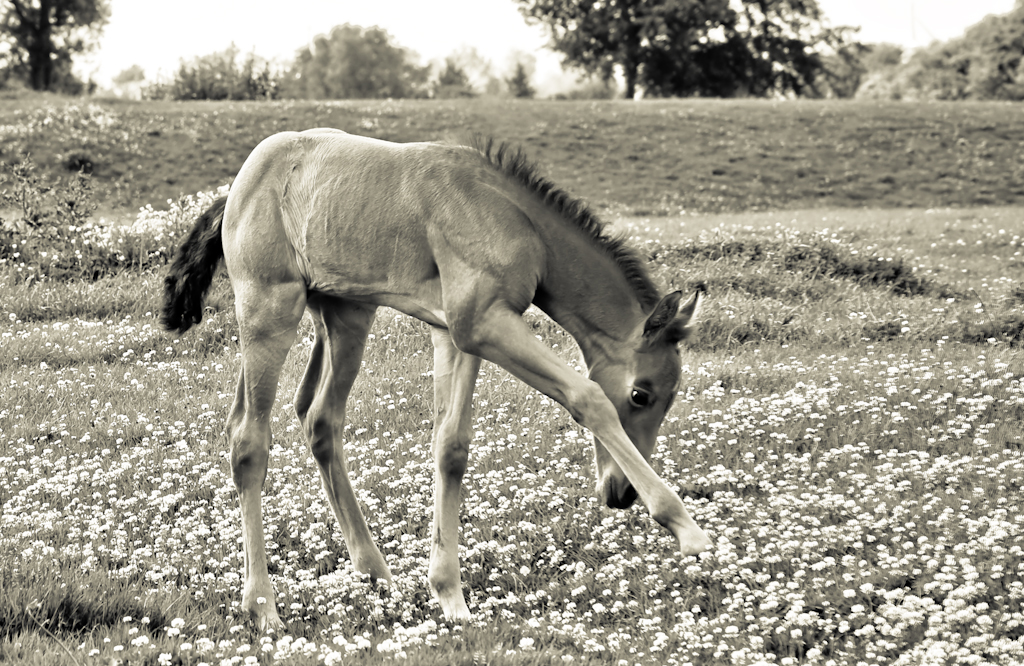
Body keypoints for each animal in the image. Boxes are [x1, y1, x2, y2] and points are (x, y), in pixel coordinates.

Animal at [163, 128, 712, 627]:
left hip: (346, 313)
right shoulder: (482, 323)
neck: (519, 221)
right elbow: (588, 396)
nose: (621, 495)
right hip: (269, 308)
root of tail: (236, 188)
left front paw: (449, 594)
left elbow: (451, 446)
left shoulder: (457, 333)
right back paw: (262, 605)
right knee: (248, 437)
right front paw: (685, 527)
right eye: (640, 395)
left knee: (318, 417)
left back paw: (374, 569)